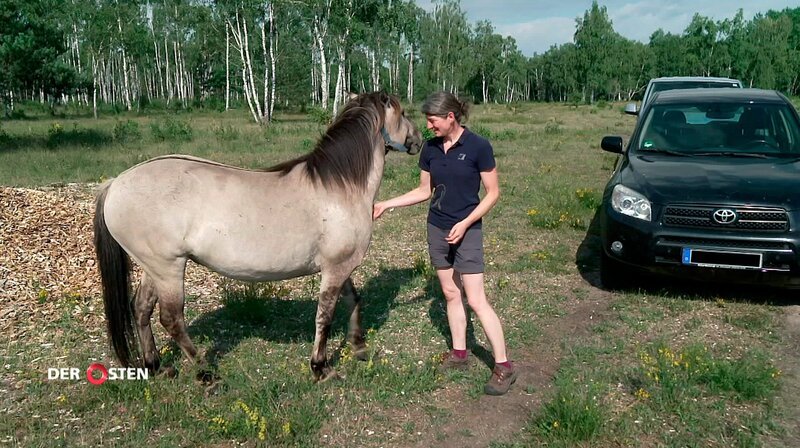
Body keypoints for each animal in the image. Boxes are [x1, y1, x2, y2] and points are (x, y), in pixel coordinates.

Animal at [93, 91, 422, 382]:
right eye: (404, 112)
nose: (419, 139)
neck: (340, 188)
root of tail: (116, 183)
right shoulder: (335, 268)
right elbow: (325, 316)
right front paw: (321, 368)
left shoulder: (341, 266)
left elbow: (353, 300)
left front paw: (359, 347)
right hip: (168, 268)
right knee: (171, 319)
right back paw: (205, 374)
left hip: (154, 268)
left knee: (141, 309)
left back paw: (156, 367)